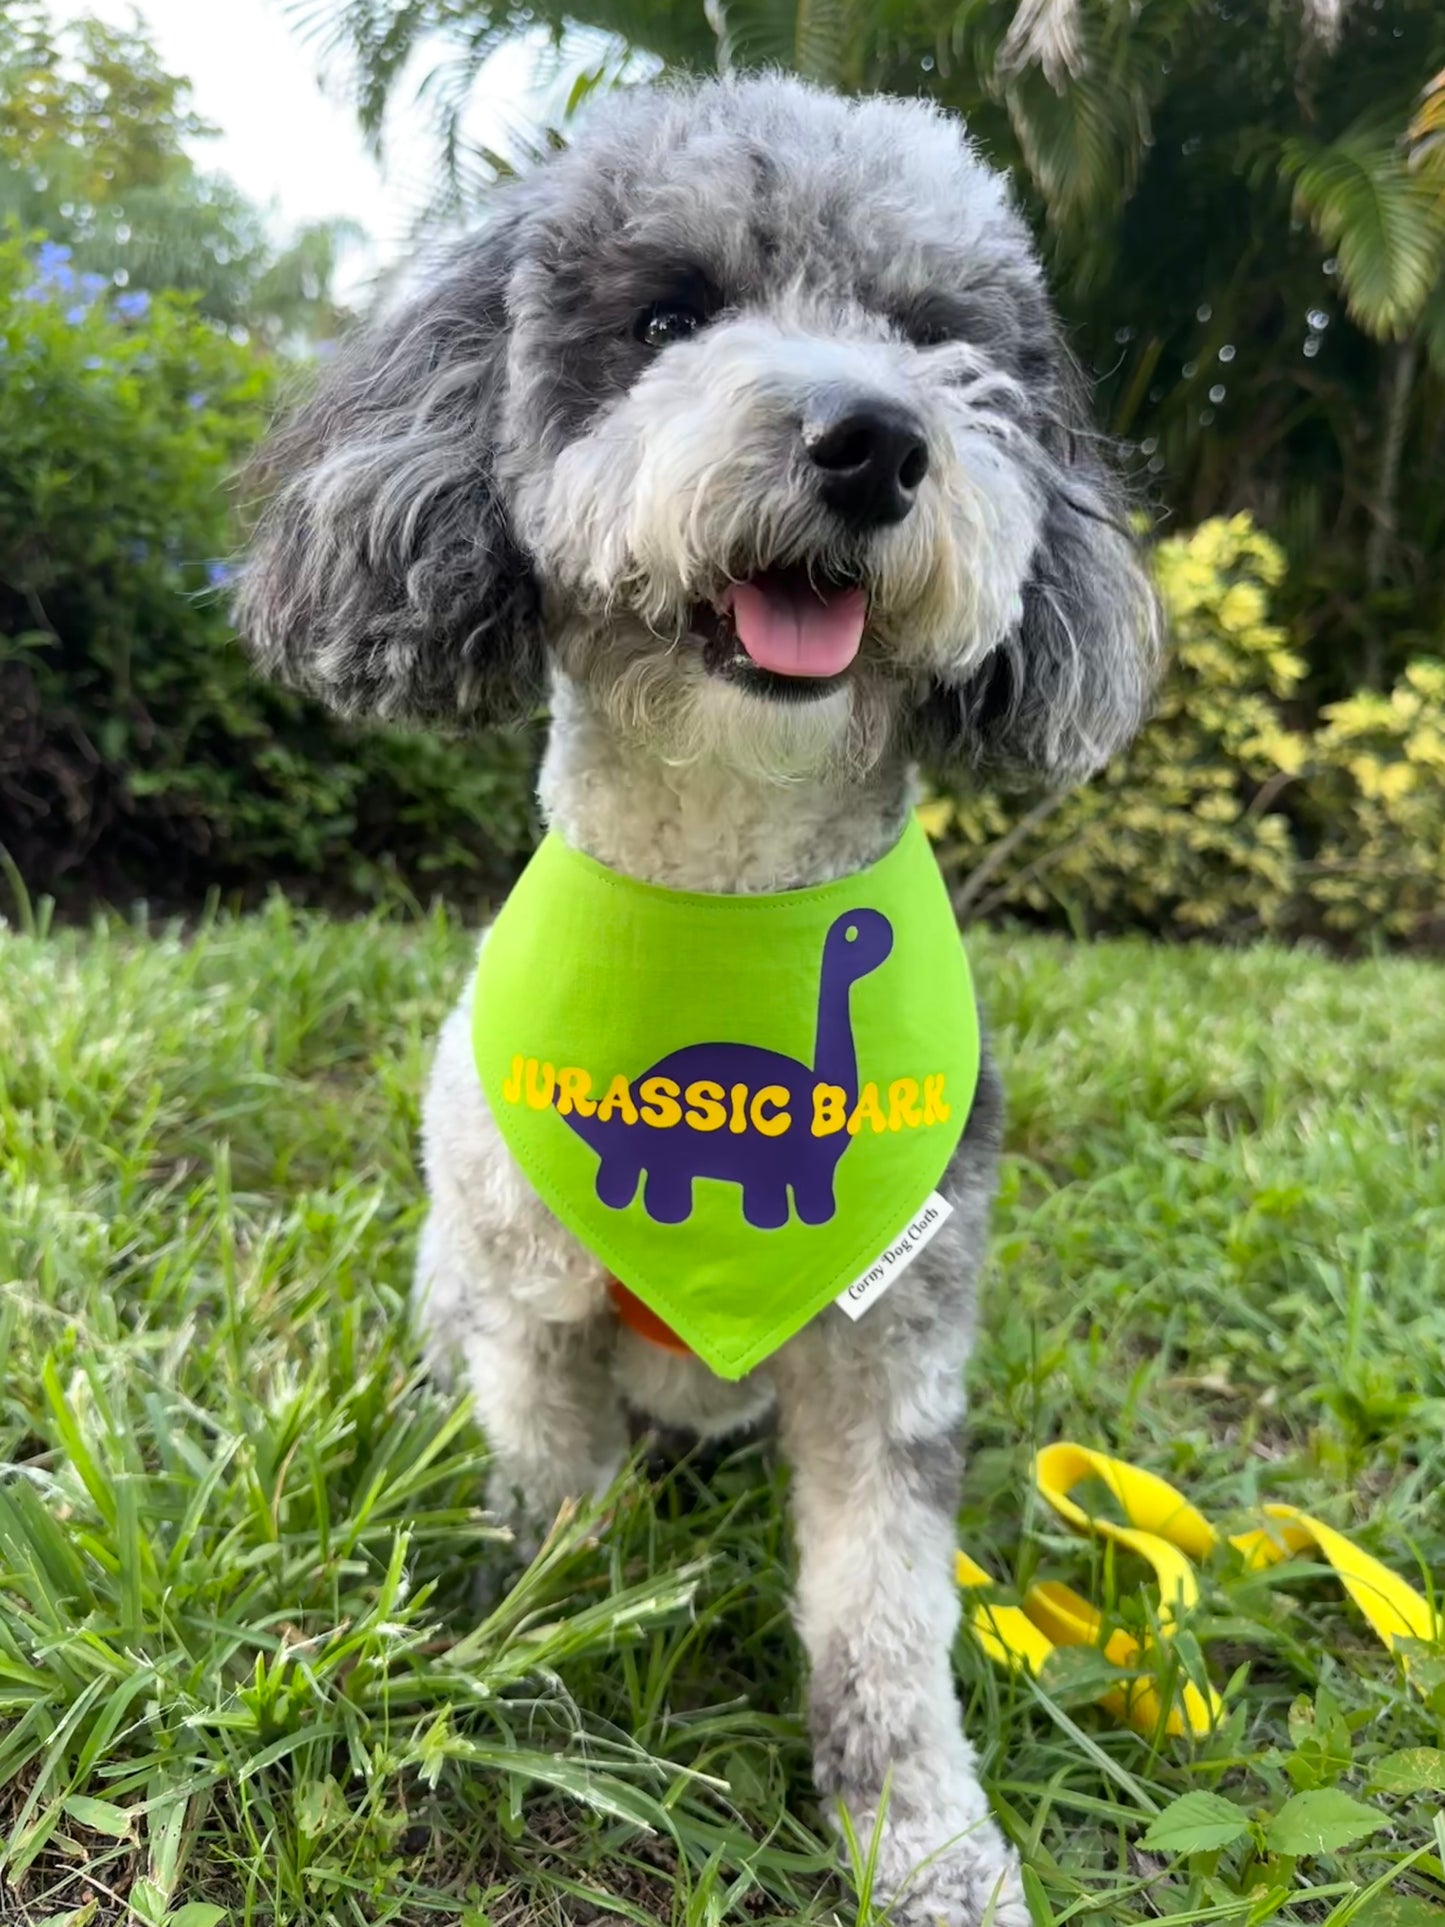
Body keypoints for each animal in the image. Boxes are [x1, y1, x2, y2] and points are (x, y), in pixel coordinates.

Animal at [237, 75, 1163, 1927]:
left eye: (937, 339)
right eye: (671, 316)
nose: (875, 439)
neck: (725, 895)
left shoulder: (894, 1346)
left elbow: (885, 1612)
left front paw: (924, 1839)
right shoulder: (530, 1306)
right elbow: (555, 1506)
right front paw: (553, 1685)